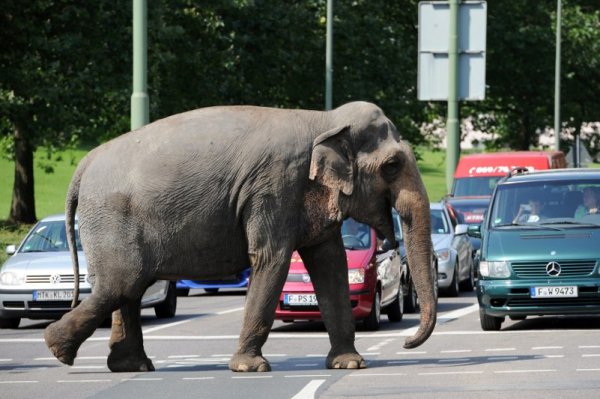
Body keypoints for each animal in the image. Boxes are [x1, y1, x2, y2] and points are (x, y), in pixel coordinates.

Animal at [43, 101, 436, 374]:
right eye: (392, 166)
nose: (406, 342)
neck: (324, 120)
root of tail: (84, 164)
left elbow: (331, 264)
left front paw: (349, 364)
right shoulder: (274, 187)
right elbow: (272, 258)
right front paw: (251, 368)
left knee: (129, 288)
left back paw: (131, 366)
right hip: (112, 219)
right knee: (122, 283)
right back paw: (55, 348)